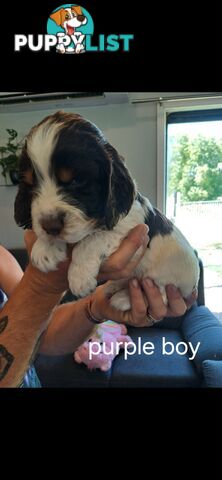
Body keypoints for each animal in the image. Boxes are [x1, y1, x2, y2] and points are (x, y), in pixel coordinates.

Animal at [14, 110, 200, 316]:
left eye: (76, 181)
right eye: (30, 184)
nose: (50, 226)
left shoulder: (128, 224)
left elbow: (91, 240)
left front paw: (79, 277)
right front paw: (44, 249)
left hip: (167, 278)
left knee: (161, 293)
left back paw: (123, 298)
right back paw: (114, 286)